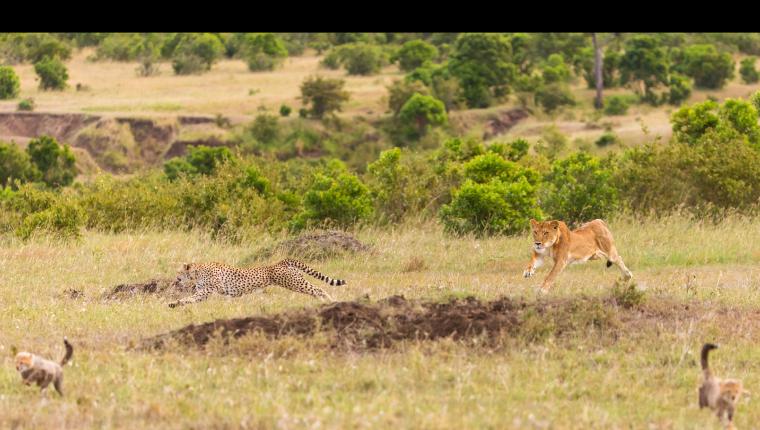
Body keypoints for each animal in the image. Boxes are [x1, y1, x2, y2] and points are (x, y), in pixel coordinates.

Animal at [169, 256, 348, 308]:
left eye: (179, 272)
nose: (175, 279)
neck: (196, 272)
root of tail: (283, 261)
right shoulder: (203, 292)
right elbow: (191, 299)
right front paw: (175, 304)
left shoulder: (210, 290)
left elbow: (190, 297)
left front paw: (174, 302)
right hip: (296, 282)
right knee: (315, 290)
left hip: (294, 283)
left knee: (318, 289)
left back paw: (331, 301)